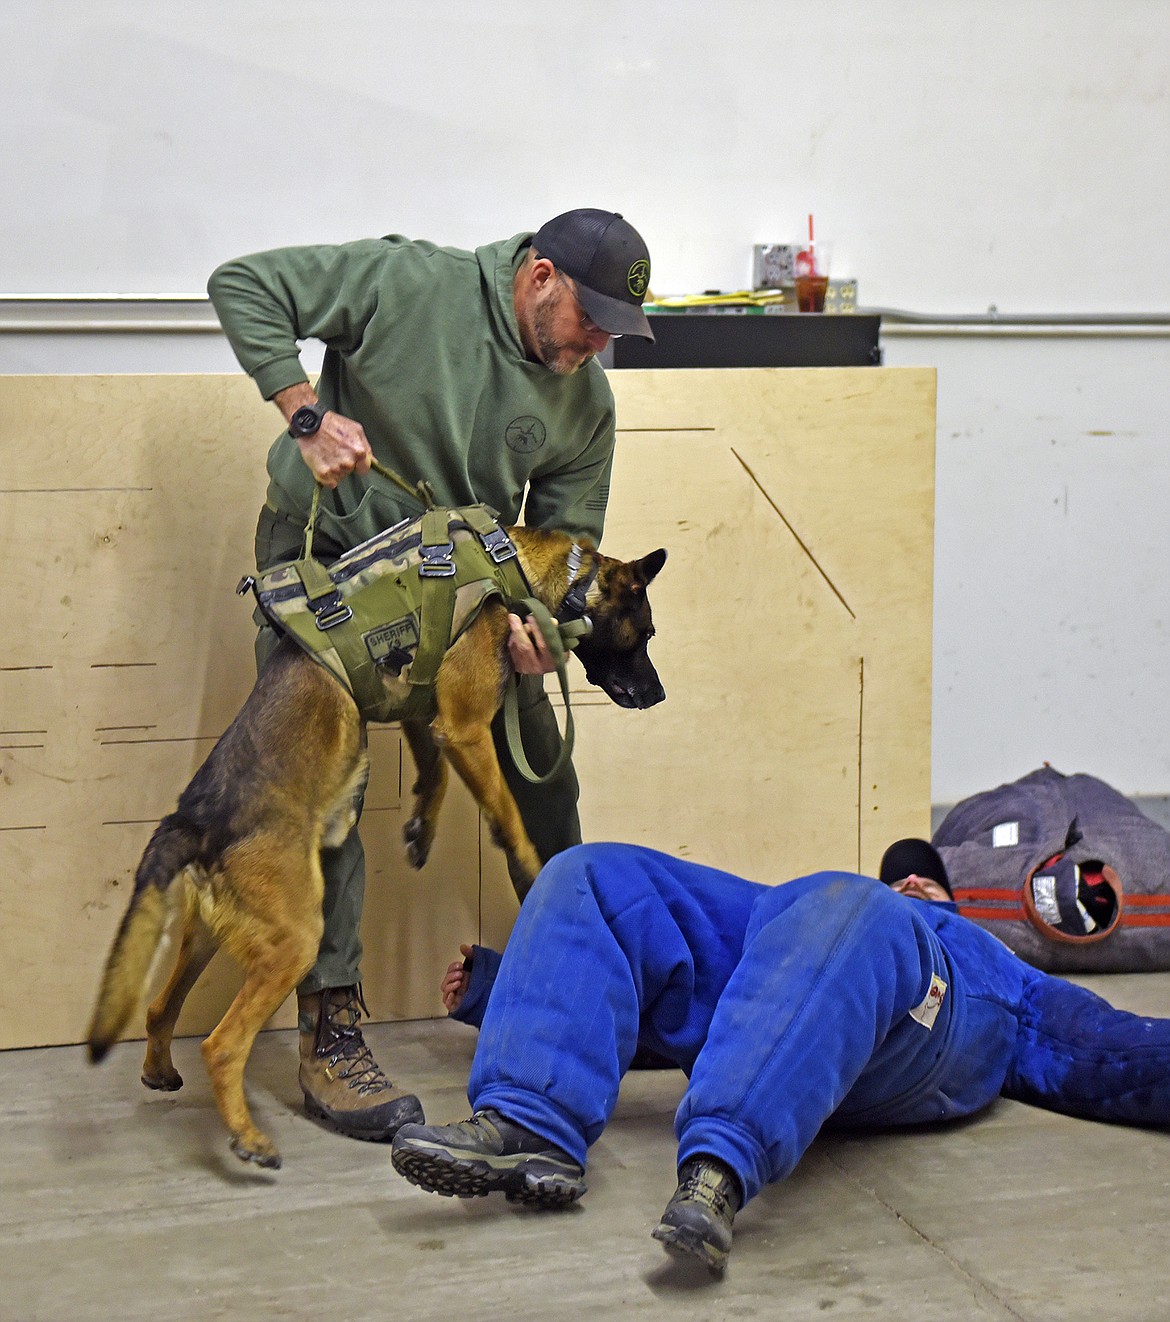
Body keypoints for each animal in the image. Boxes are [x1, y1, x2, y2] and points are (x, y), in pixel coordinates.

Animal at [86, 526, 666, 1168]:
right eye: (645, 634)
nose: (660, 695)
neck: (511, 561)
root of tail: (193, 819)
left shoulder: (428, 714)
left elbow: (433, 773)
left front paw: (422, 828)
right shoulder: (467, 727)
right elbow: (509, 810)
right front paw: (528, 858)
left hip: (209, 936)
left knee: (160, 1006)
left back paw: (160, 1071)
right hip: (294, 939)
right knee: (221, 1044)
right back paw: (248, 1138)